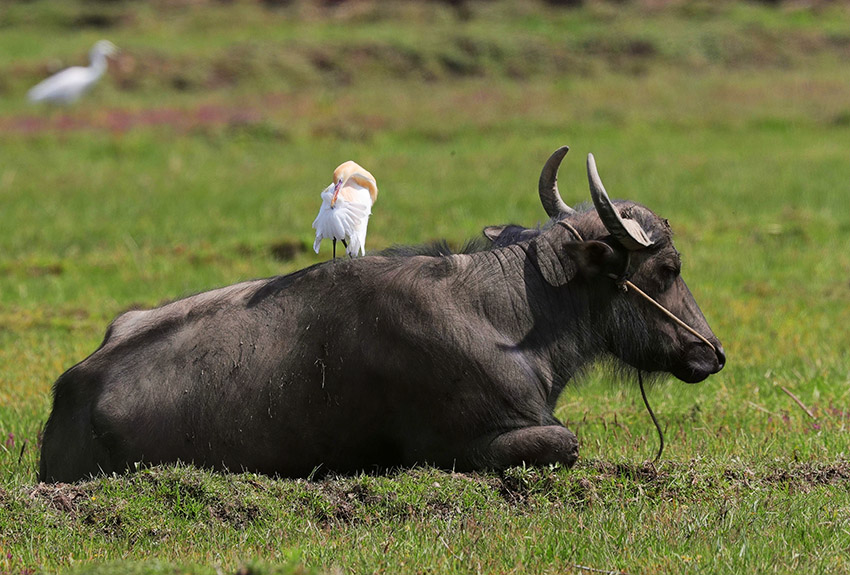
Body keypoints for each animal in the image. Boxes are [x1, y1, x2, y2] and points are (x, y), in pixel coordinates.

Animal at [36, 147, 720, 482]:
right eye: (669, 267)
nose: (710, 352)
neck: (507, 319)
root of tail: (71, 389)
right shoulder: (477, 439)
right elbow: (565, 441)